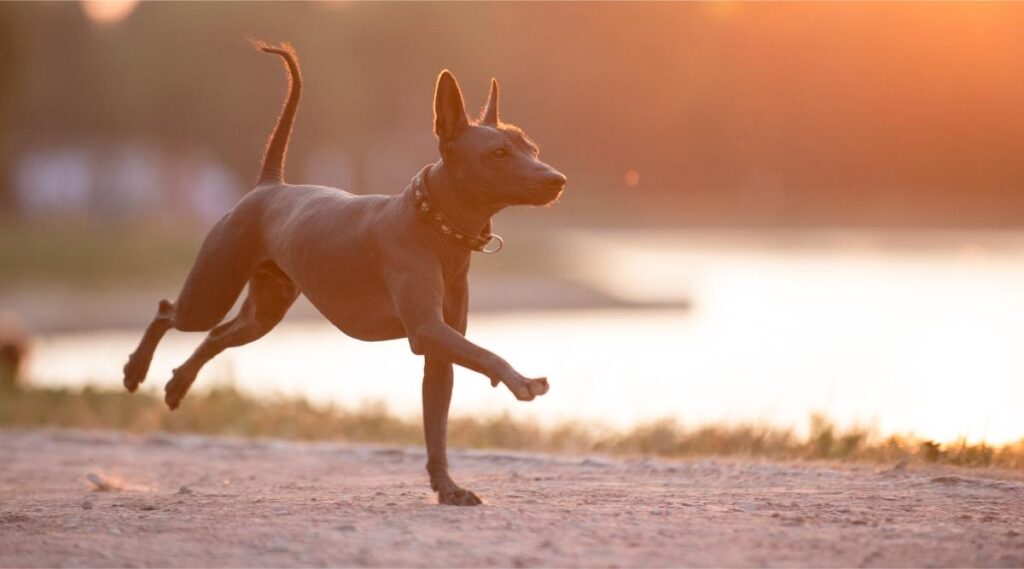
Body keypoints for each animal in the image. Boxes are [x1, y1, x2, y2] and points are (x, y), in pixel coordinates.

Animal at [122, 44, 569, 507]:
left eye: (532, 148)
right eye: (498, 153)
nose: (558, 180)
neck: (436, 226)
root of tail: (270, 186)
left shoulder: (439, 351)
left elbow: (436, 428)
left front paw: (447, 487)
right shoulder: (428, 331)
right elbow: (487, 354)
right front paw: (521, 381)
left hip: (260, 316)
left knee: (214, 337)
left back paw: (178, 384)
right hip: (208, 295)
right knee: (168, 311)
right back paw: (136, 369)